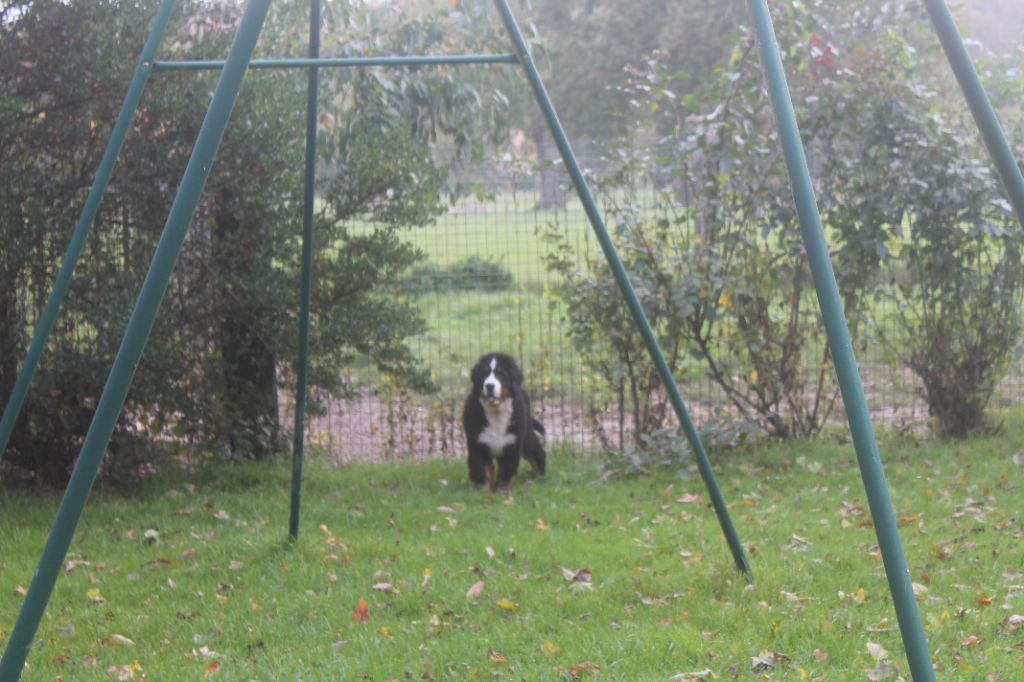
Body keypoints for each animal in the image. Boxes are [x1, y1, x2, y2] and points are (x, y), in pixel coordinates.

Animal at [462, 350, 544, 489]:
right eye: (484, 373)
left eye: (501, 374)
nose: (489, 386)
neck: (496, 414)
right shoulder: (478, 445)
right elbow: (481, 470)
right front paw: (481, 490)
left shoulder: (512, 444)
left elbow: (506, 471)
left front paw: (503, 490)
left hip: (526, 437)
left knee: (536, 452)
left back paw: (540, 475)